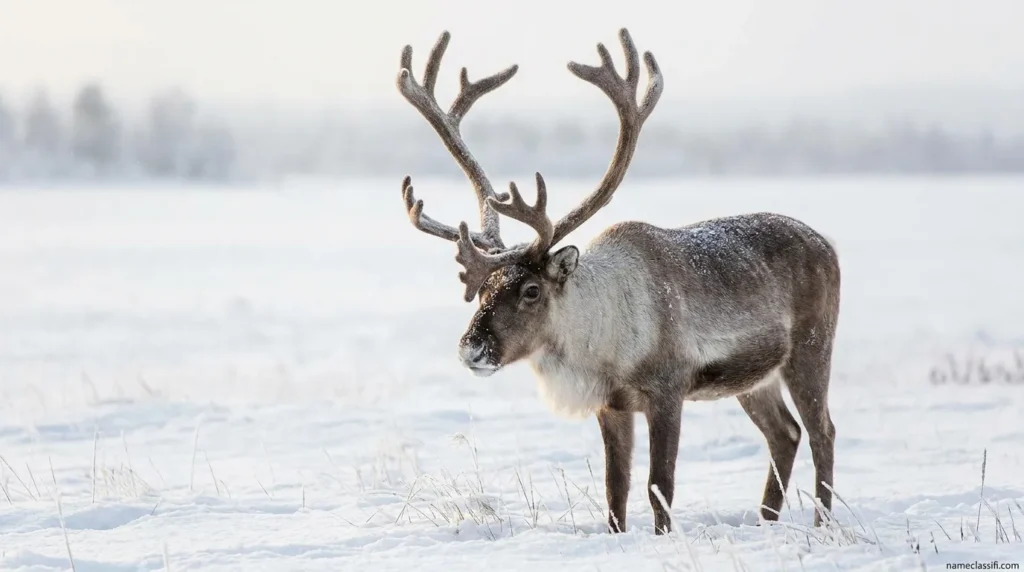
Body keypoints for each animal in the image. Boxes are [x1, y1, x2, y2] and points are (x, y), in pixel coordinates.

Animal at [395, 28, 841, 535]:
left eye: (531, 290)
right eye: (484, 289)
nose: (471, 348)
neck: (602, 343)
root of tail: (826, 245)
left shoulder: (668, 391)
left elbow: (659, 485)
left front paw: (663, 537)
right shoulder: (612, 406)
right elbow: (616, 489)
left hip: (811, 348)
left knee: (822, 430)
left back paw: (823, 523)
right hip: (754, 379)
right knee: (785, 434)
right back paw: (766, 522)